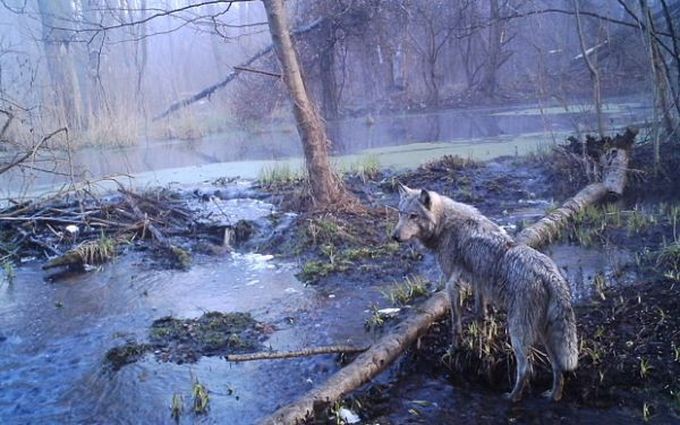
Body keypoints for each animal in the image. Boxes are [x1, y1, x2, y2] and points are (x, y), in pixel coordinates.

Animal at [390, 183, 576, 400]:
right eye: (401, 214)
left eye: (413, 216)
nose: (394, 236)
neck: (444, 223)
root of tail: (550, 275)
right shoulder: (478, 281)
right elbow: (481, 312)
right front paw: (481, 336)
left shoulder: (452, 284)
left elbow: (456, 324)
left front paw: (454, 349)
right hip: (544, 334)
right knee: (558, 368)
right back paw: (553, 396)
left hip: (518, 333)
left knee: (526, 369)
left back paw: (512, 397)